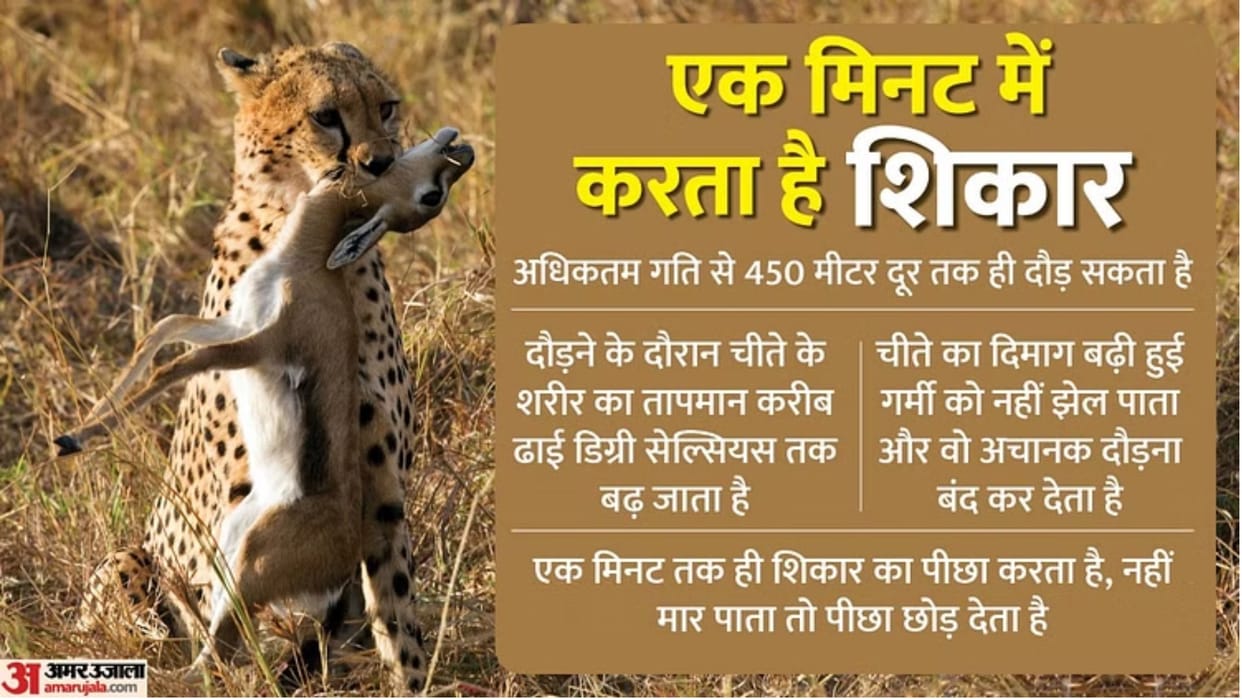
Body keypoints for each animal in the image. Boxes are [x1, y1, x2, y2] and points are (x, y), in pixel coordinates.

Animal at [75, 41, 437, 694]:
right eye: (326, 116)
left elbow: (397, 614)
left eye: (387, 107)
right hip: (130, 560)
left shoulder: (381, 487)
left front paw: (415, 679)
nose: (380, 162)